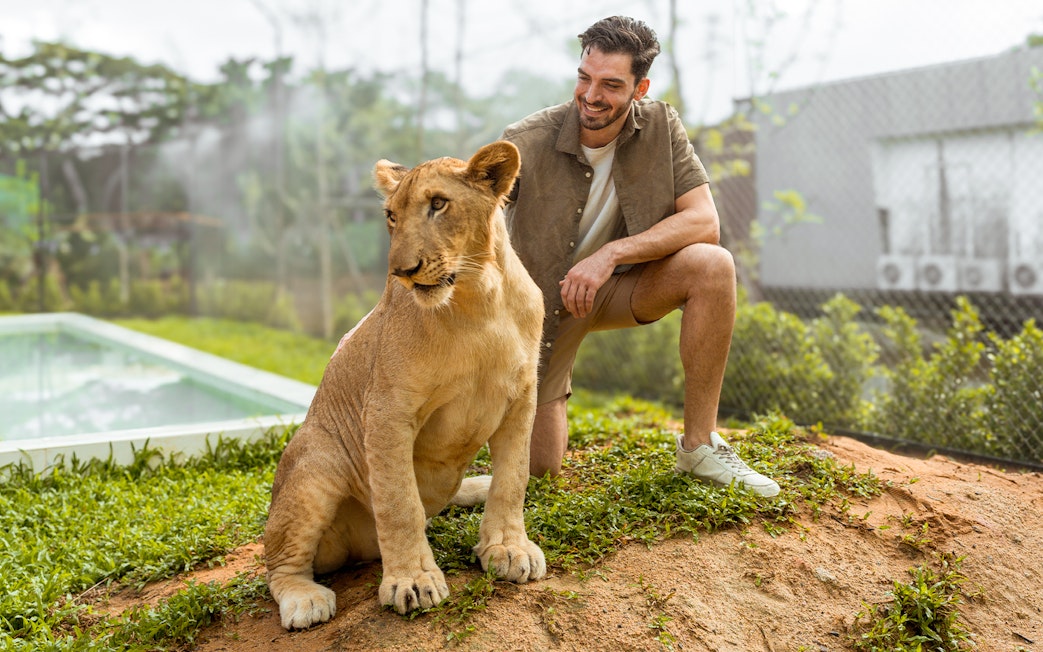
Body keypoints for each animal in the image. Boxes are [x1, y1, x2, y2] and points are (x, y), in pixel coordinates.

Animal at [263, 141, 546, 631]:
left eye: (439, 204)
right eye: (392, 216)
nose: (403, 271)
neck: (479, 300)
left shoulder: (521, 399)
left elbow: (514, 478)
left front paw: (509, 548)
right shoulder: (385, 412)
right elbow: (399, 502)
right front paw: (412, 581)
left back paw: (476, 484)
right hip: (315, 460)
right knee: (279, 563)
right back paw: (305, 599)